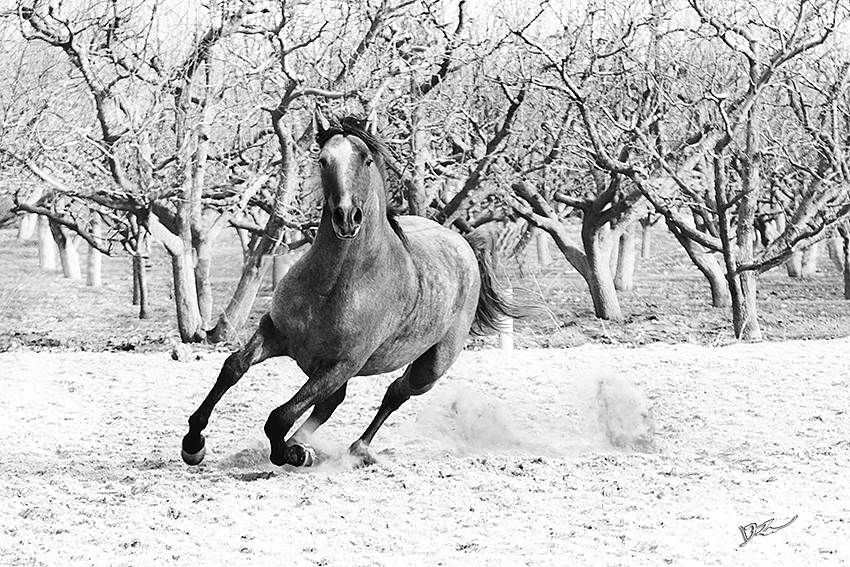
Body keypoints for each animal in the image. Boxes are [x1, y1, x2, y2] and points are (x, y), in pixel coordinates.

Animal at [181, 110, 524, 468]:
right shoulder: (274, 332)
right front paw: (193, 443)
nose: (346, 217)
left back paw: (352, 449)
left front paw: (292, 453)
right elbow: (233, 367)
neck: (331, 286)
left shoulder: (341, 365)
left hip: (431, 367)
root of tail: (463, 242)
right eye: (322, 160)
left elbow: (280, 416)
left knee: (396, 393)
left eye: (366, 159)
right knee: (333, 403)